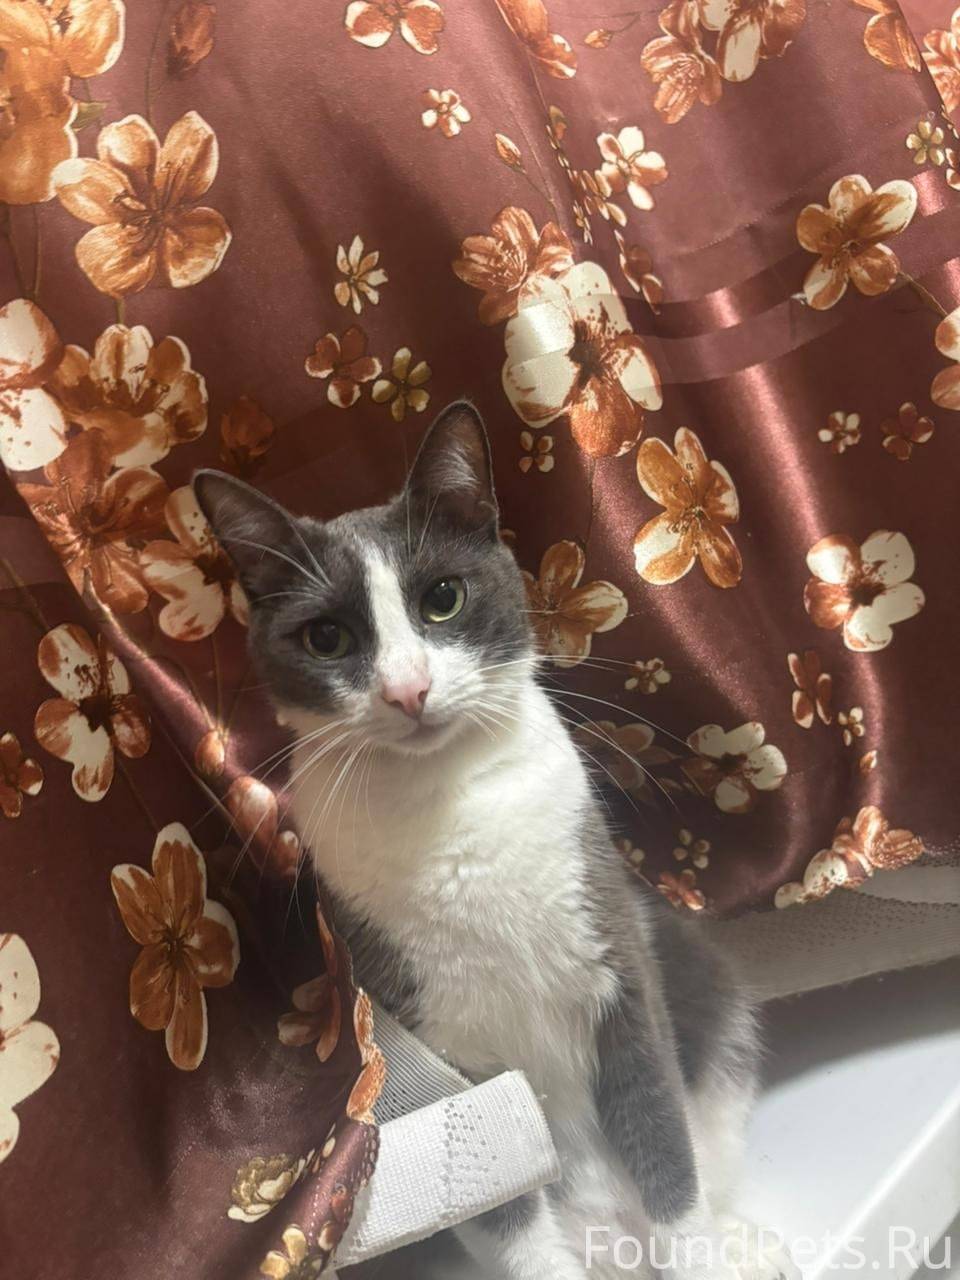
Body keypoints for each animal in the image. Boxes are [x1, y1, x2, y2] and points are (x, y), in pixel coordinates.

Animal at [194, 402, 791, 1280]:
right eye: (327, 639)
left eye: (442, 598)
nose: (407, 690)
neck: (449, 806)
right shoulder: (435, 1052)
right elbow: (507, 1214)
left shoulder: (618, 967)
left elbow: (663, 1145)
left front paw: (701, 1252)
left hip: (700, 982)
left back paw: (742, 1241)